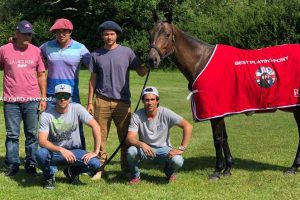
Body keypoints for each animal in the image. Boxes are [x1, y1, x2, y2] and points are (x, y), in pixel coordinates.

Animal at [146, 12, 300, 180]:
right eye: (150, 34)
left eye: (167, 34)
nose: (151, 60)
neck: (201, 61)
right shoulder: (221, 110)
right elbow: (225, 138)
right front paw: (228, 168)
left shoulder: (215, 112)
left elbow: (217, 140)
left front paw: (217, 171)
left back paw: (293, 167)